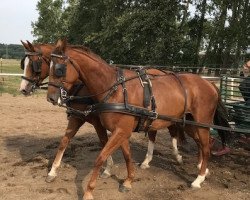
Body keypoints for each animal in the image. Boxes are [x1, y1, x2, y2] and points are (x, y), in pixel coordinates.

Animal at [46, 38, 225, 199]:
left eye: (59, 69)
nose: (51, 98)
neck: (115, 89)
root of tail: (210, 84)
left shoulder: (120, 131)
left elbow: (100, 157)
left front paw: (89, 191)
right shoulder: (121, 131)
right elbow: (127, 155)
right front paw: (128, 181)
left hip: (202, 123)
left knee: (206, 147)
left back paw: (198, 179)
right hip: (189, 123)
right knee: (203, 143)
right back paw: (202, 168)